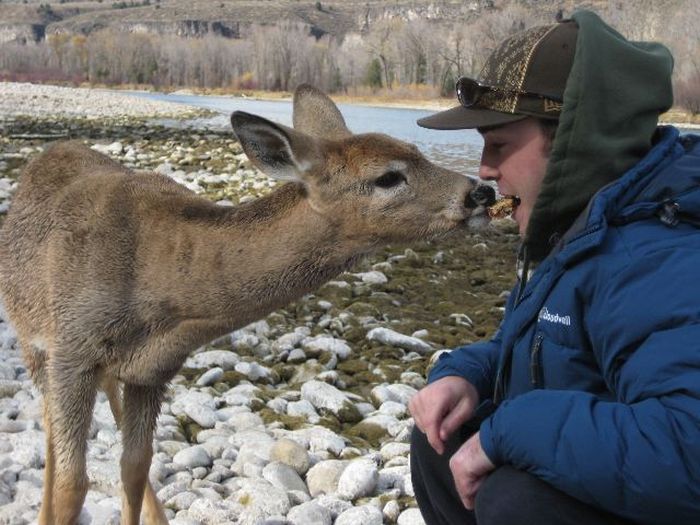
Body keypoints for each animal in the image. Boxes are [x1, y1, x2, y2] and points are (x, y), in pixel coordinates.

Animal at [0, 84, 494, 520]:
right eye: (387, 176)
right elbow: (72, 484)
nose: (481, 192)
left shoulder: (152, 370)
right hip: (34, 341)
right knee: (50, 430)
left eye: (417, 149)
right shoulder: (73, 352)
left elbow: (136, 469)